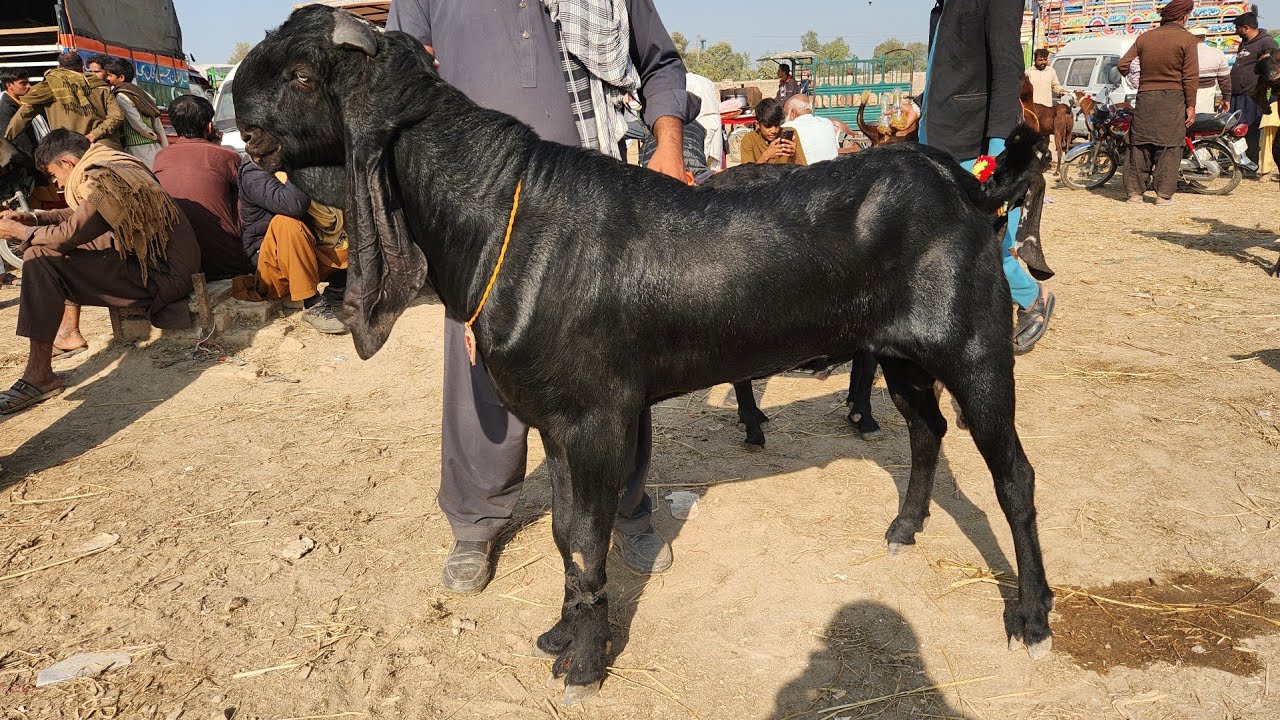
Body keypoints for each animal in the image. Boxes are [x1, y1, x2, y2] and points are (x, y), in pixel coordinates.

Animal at [234, 6, 1055, 704]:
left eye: (302, 74)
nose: (238, 109)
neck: (502, 212)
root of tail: (964, 185)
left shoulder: (596, 418)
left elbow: (586, 538)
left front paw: (585, 663)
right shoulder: (555, 421)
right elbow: (564, 532)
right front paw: (562, 634)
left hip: (975, 350)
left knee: (1013, 475)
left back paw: (1034, 617)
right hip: (900, 353)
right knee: (926, 430)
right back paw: (904, 528)